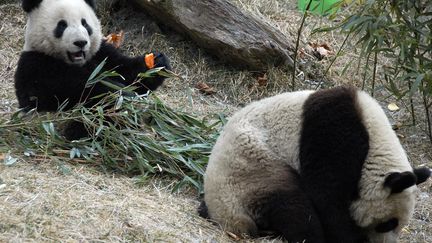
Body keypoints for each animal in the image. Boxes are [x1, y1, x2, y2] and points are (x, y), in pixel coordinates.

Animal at [13, 0, 169, 140]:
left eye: (85, 23)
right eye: (62, 25)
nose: (80, 42)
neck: (77, 63)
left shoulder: (102, 54)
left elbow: (128, 74)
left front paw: (156, 62)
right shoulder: (36, 65)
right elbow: (72, 88)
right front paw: (119, 93)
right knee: (89, 121)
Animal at [202, 87, 432, 243]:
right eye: (388, 223)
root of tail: (225, 218)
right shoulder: (334, 135)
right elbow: (327, 198)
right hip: (252, 170)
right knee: (292, 205)